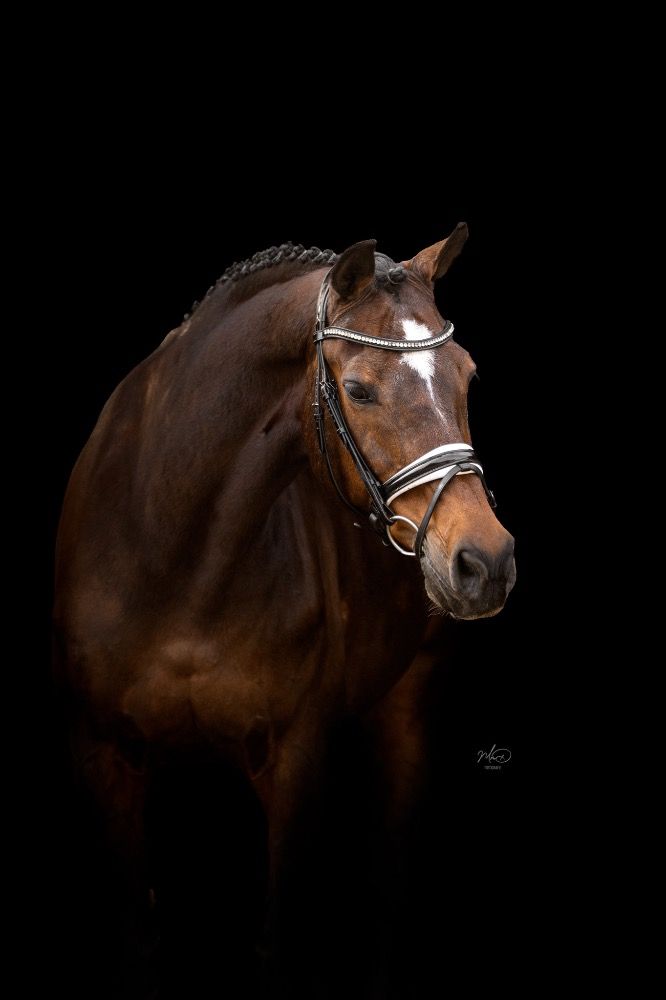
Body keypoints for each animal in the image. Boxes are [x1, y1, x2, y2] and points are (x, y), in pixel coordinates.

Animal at [53, 224, 515, 997]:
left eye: (468, 376)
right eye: (357, 389)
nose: (487, 561)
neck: (175, 553)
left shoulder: (296, 759)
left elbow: (276, 946)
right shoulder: (103, 754)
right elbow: (140, 938)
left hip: (407, 711)